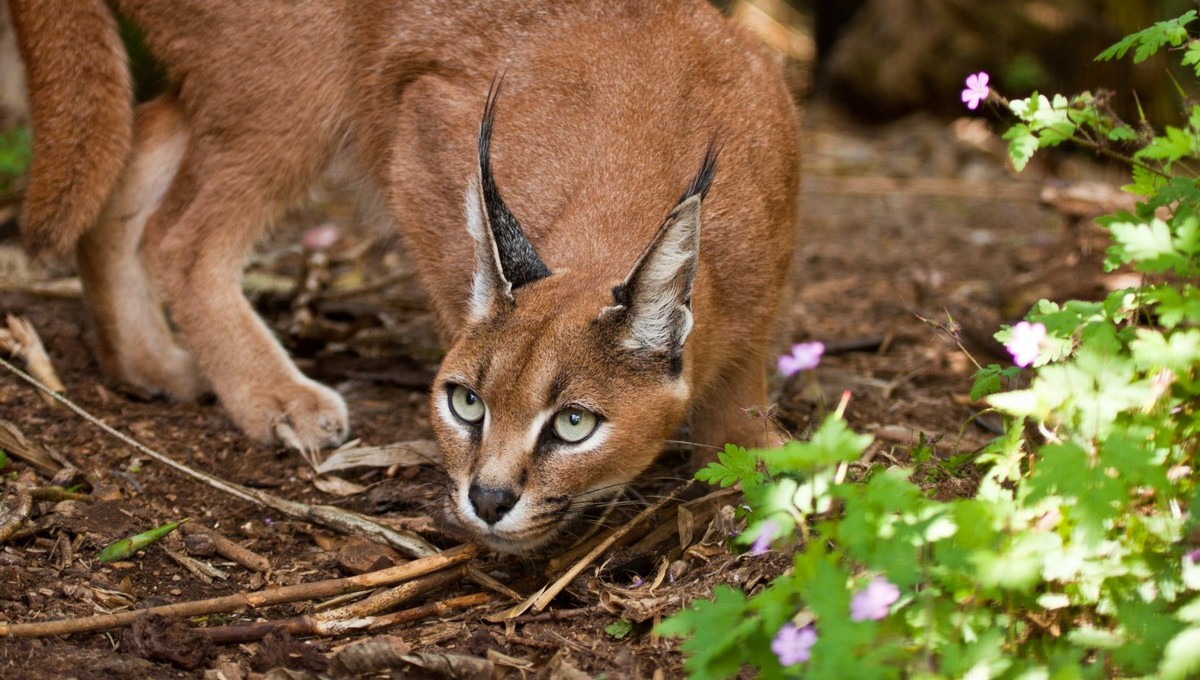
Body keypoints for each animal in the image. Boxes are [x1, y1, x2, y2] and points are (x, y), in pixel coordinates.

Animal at [11, 1, 796, 554]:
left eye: (574, 425)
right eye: (466, 404)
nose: (488, 498)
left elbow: (741, 389)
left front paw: (763, 463)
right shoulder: (421, 133)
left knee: (132, 155)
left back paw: (143, 362)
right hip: (294, 81)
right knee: (182, 236)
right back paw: (274, 395)